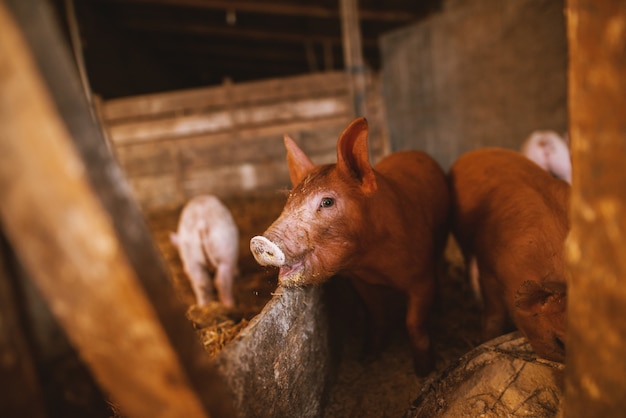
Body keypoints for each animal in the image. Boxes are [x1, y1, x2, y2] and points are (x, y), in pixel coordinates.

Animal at [249, 117, 448, 376]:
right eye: (289, 200)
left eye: (327, 202)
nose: (259, 242)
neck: (372, 262)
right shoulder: (361, 281)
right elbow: (375, 315)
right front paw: (367, 358)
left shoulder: (422, 278)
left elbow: (414, 324)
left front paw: (425, 372)